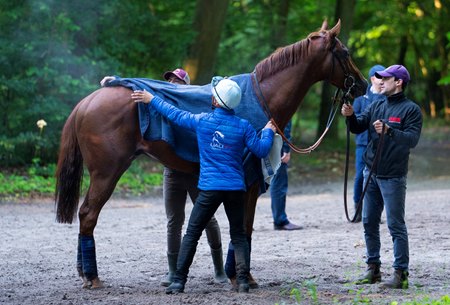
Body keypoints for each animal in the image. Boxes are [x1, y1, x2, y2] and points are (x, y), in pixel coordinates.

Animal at [55, 20, 366, 288]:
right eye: (346, 52)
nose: (362, 85)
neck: (261, 97)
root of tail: (86, 103)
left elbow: (238, 228)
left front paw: (234, 273)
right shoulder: (249, 183)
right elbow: (244, 228)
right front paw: (243, 276)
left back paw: (83, 272)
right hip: (107, 174)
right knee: (88, 215)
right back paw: (92, 276)